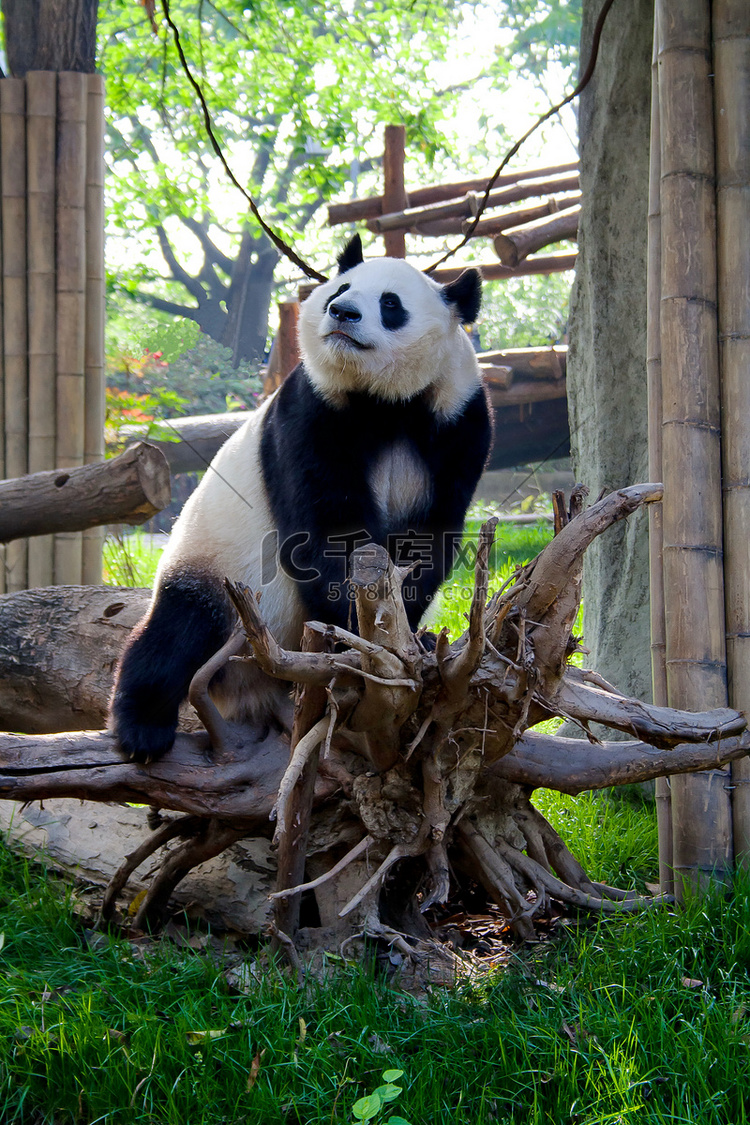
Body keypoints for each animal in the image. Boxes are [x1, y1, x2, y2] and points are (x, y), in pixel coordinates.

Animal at [110, 237, 492, 765]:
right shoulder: (313, 410)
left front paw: (411, 638)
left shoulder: (457, 420)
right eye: (342, 288)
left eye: (390, 304)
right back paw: (142, 731)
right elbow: (326, 531)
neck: (385, 402)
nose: (342, 312)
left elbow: (427, 541)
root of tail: (253, 686)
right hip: (217, 571)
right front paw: (352, 641)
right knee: (178, 628)